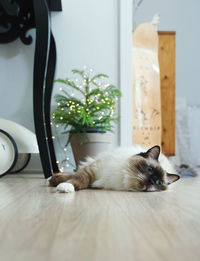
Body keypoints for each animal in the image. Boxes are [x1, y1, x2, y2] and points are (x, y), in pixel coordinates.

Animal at [48, 145, 180, 192]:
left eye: (159, 182)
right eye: (149, 169)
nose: (152, 181)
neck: (124, 176)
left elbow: (78, 179)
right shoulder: (92, 170)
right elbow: (77, 179)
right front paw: (64, 186)